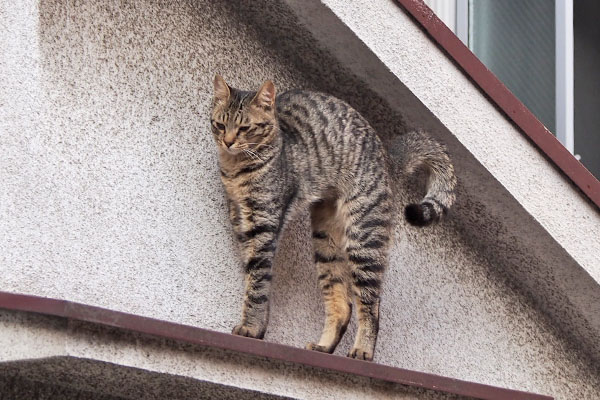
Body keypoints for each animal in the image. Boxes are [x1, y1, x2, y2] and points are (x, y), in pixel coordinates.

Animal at [210, 75, 454, 362]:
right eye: (220, 124)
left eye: (245, 128)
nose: (227, 141)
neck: (237, 170)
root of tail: (386, 155)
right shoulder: (241, 222)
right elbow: (252, 277)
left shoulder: (264, 224)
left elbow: (258, 283)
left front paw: (252, 327)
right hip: (326, 242)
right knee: (343, 304)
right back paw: (323, 347)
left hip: (363, 239)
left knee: (371, 305)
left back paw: (362, 350)